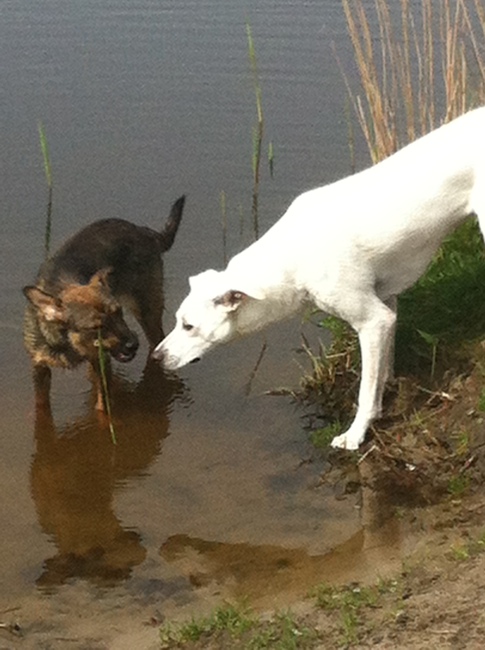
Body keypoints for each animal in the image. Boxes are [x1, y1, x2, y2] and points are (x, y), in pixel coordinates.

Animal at [23, 195, 185, 410]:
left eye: (118, 312)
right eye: (97, 326)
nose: (133, 345)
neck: (67, 342)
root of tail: (144, 231)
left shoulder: (101, 362)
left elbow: (103, 407)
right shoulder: (40, 368)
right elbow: (41, 407)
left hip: (148, 311)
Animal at [153, 106, 485, 451]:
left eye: (188, 326)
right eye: (177, 321)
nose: (155, 357)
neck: (293, 254)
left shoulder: (373, 320)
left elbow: (366, 390)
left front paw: (355, 434)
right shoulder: (386, 304)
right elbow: (381, 371)